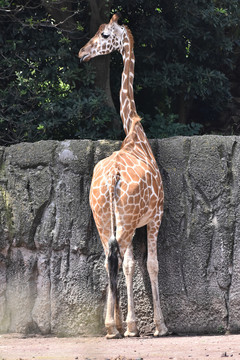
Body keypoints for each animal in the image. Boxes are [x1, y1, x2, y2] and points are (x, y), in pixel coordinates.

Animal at [79, 12, 169, 338]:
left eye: (104, 35)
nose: (82, 52)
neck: (134, 133)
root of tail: (113, 178)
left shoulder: (130, 220)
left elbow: (130, 265)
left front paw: (130, 323)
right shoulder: (155, 216)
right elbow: (150, 264)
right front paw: (157, 325)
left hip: (102, 217)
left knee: (109, 258)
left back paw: (111, 325)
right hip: (127, 220)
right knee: (116, 259)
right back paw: (117, 325)